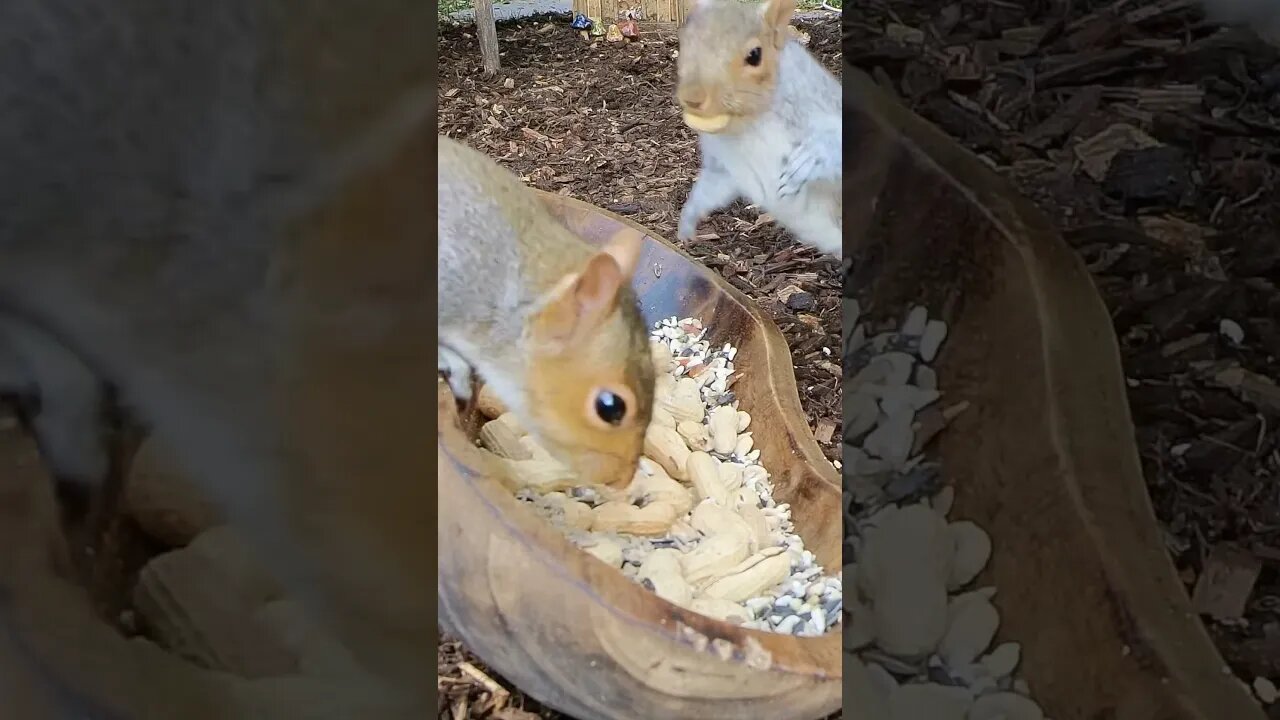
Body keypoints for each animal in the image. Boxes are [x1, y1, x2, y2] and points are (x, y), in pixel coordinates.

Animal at [675, 0, 844, 256]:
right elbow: (715, 184)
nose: (692, 98)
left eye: (755, 55)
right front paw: (689, 217)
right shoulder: (723, 163)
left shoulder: (816, 99)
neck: (751, 123)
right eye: (683, 41)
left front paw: (812, 158)